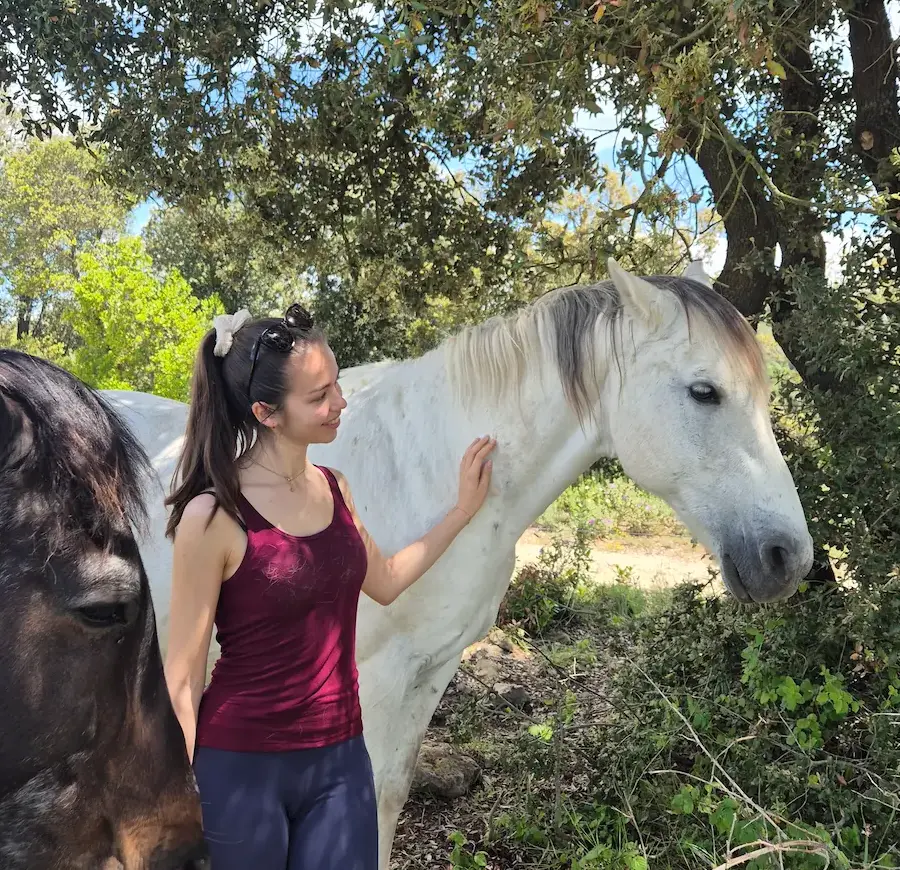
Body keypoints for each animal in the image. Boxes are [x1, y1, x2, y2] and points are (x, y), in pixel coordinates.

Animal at [105, 258, 814, 869]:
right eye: (704, 392)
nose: (789, 557)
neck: (427, 468)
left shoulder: (431, 669)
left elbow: (389, 795)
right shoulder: (375, 681)